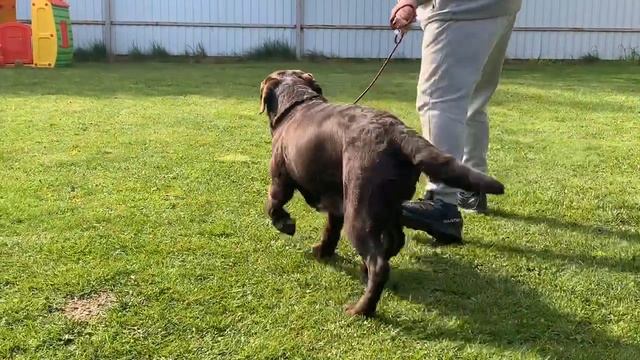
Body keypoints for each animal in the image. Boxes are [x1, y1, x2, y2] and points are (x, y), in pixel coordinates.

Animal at [260, 69, 504, 316]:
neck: (298, 102)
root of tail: (399, 133)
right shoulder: (336, 201)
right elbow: (331, 230)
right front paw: (322, 251)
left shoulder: (281, 179)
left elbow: (273, 204)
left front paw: (285, 224)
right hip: (388, 205)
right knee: (394, 242)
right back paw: (364, 271)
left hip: (359, 214)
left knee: (379, 265)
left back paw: (361, 308)